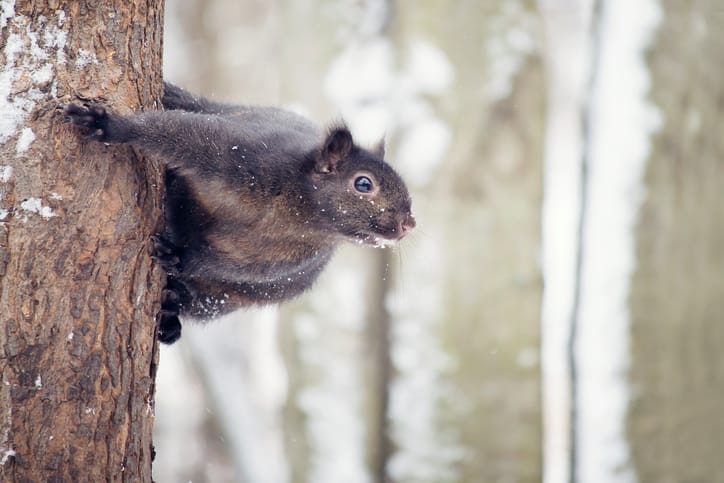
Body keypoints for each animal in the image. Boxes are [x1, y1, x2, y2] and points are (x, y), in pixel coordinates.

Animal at [62, 82, 415, 344]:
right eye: (363, 183)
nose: (409, 223)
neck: (296, 211)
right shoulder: (242, 155)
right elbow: (177, 132)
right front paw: (109, 126)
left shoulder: (292, 258)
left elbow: (231, 266)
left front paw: (180, 256)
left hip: (223, 300)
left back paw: (171, 313)